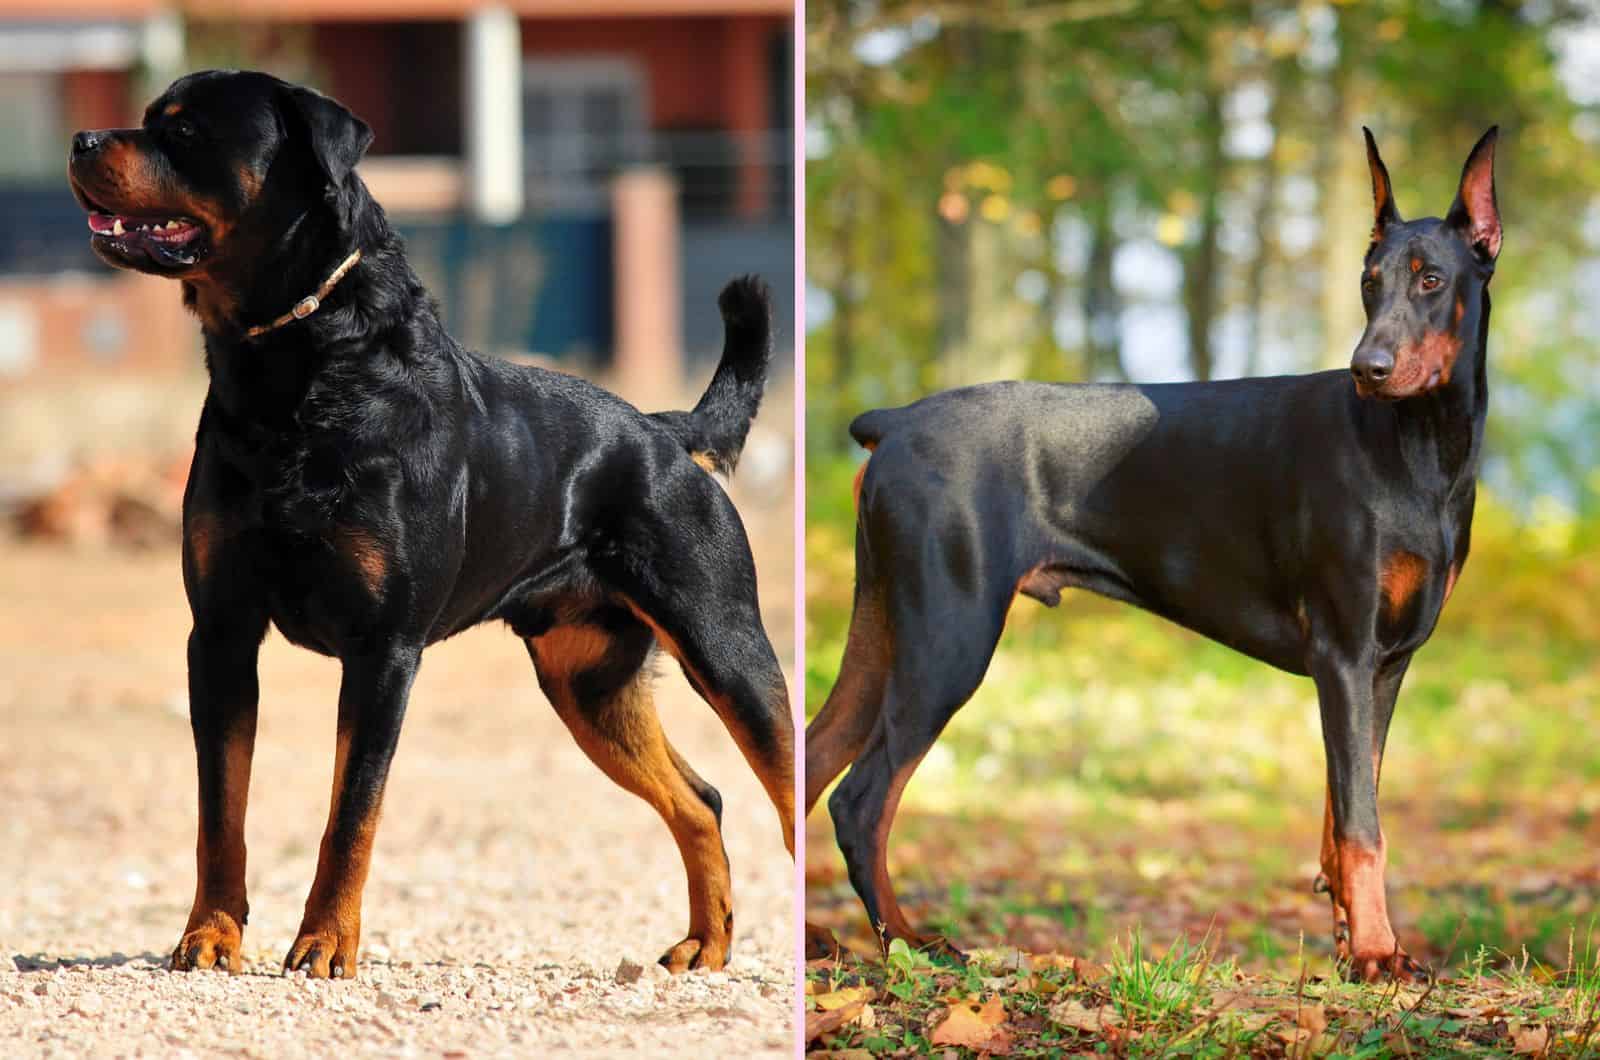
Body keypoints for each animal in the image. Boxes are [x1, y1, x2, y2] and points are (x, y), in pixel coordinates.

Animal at [68, 68, 793, 979]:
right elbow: (220, 810)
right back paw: (707, 945)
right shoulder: (223, 634)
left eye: (188, 131)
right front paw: (210, 937)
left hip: (727, 648)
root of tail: (663, 432)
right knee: (701, 799)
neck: (298, 361)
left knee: (788, 784)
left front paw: (325, 946)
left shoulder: (384, 651)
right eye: (149, 117)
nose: (82, 141)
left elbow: (352, 811)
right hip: (587, 685)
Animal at [806, 128, 1504, 986]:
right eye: (1370, 283)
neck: (1419, 447)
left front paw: (1350, 943)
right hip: (949, 637)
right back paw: (911, 943)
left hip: (884, 628)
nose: (1367, 368)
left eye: (1432, 279)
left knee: (810, 757)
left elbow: (1345, 809)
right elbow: (1362, 825)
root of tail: (895, 422)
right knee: (862, 800)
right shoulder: (1344, 653)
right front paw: (1375, 952)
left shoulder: (1387, 664)